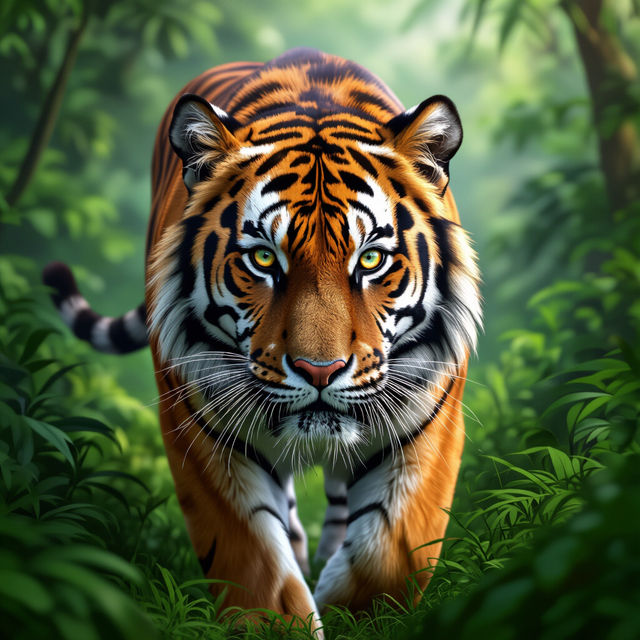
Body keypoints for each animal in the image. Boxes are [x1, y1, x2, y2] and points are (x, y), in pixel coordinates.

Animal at [43, 48, 481, 633]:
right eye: (263, 259)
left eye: (370, 259)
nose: (320, 371)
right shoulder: (199, 427)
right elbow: (254, 561)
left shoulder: (429, 423)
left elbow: (390, 552)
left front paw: (354, 614)